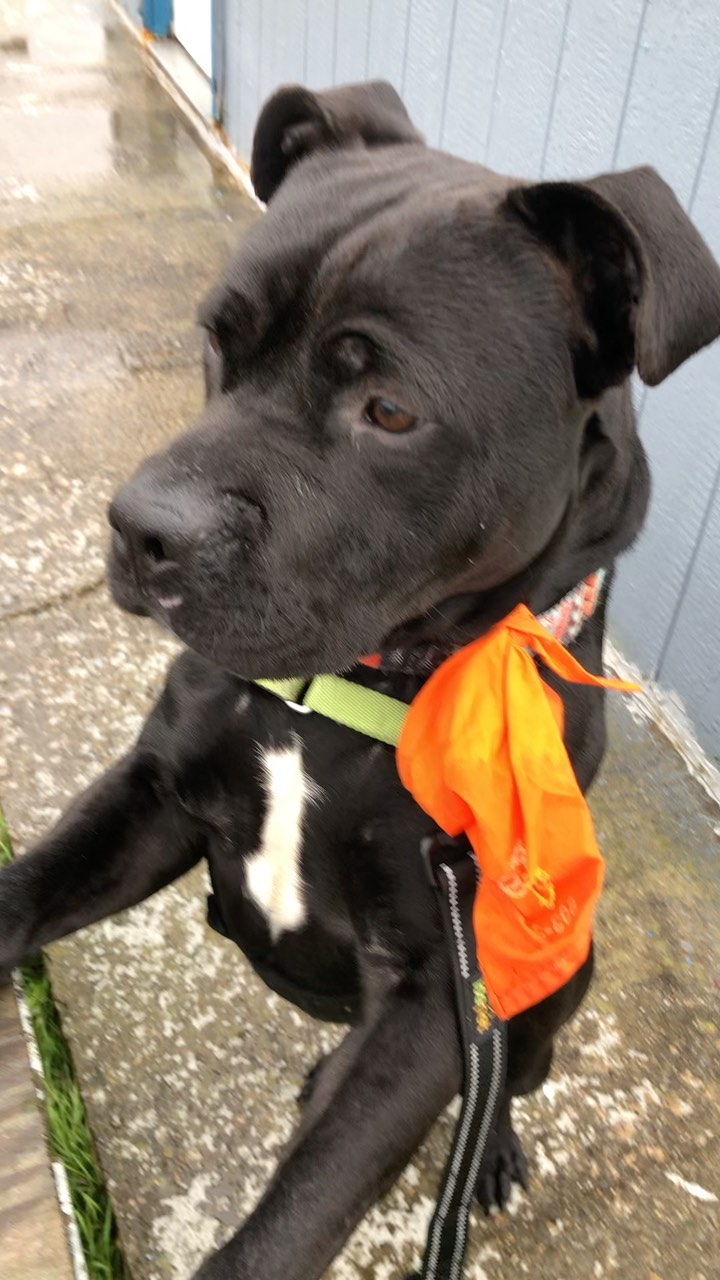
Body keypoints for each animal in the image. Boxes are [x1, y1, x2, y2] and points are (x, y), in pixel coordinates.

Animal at [1, 82, 717, 1280]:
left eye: (389, 409)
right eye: (215, 338)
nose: (141, 530)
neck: (338, 697)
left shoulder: (437, 990)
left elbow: (292, 1221)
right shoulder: (154, 800)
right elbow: (23, 893)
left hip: (554, 979)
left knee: (502, 1079)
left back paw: (486, 1151)